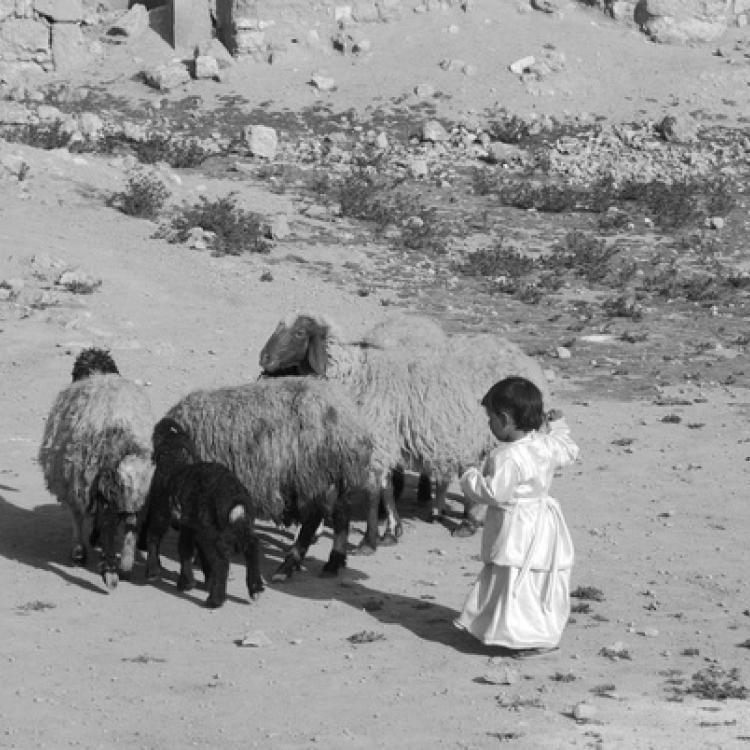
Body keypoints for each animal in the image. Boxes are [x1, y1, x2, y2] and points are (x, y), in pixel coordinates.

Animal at [39, 350, 156, 592]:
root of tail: (116, 437)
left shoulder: (74, 483)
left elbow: (77, 516)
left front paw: (79, 551)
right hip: (135, 484)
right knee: (130, 522)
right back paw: (125, 565)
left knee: (109, 521)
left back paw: (110, 571)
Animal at [150, 378, 376, 584]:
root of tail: (348, 420)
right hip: (332, 476)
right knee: (341, 513)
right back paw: (333, 563)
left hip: (311, 475)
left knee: (313, 520)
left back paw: (287, 566)